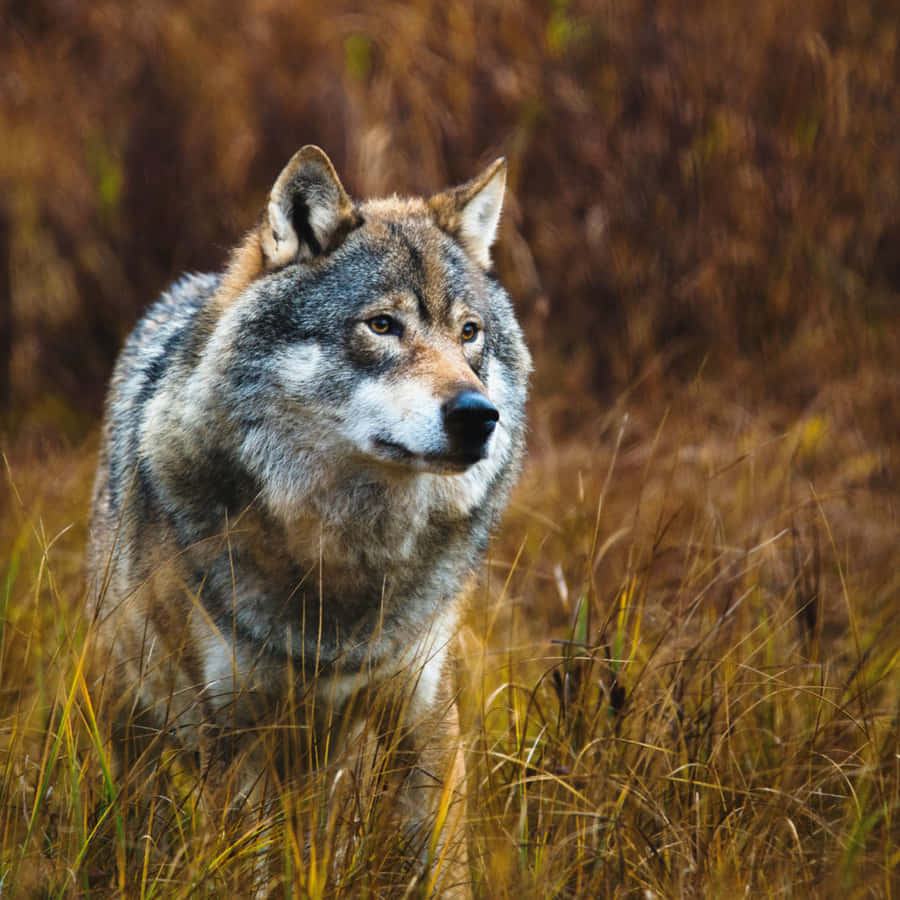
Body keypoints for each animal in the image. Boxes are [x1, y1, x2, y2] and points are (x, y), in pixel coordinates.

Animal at [86, 145, 530, 896]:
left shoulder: (424, 716)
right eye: (382, 326)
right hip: (133, 724)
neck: (346, 556)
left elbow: (444, 868)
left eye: (469, 334)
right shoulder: (235, 741)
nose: (478, 416)